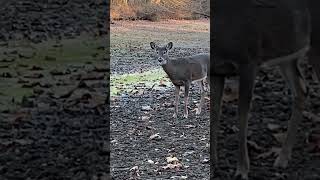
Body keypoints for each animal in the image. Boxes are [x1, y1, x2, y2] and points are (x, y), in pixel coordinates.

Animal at [211, 0, 318, 180]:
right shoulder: (216, 70)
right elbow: (214, 114)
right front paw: (213, 166)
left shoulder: (249, 60)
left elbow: (242, 116)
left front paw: (242, 171)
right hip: (287, 52)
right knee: (302, 90)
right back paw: (282, 158)